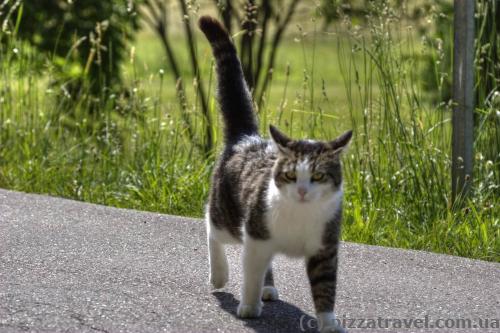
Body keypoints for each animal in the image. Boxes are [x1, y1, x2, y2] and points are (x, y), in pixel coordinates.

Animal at [197, 16, 350, 332]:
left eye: (318, 177)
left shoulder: (325, 248)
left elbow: (325, 287)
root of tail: (246, 137)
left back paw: (268, 288)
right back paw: (219, 274)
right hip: (229, 216)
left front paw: (328, 322)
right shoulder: (255, 234)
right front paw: (248, 307)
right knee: (211, 227)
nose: (302, 191)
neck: (299, 214)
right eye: (290, 175)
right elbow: (250, 276)